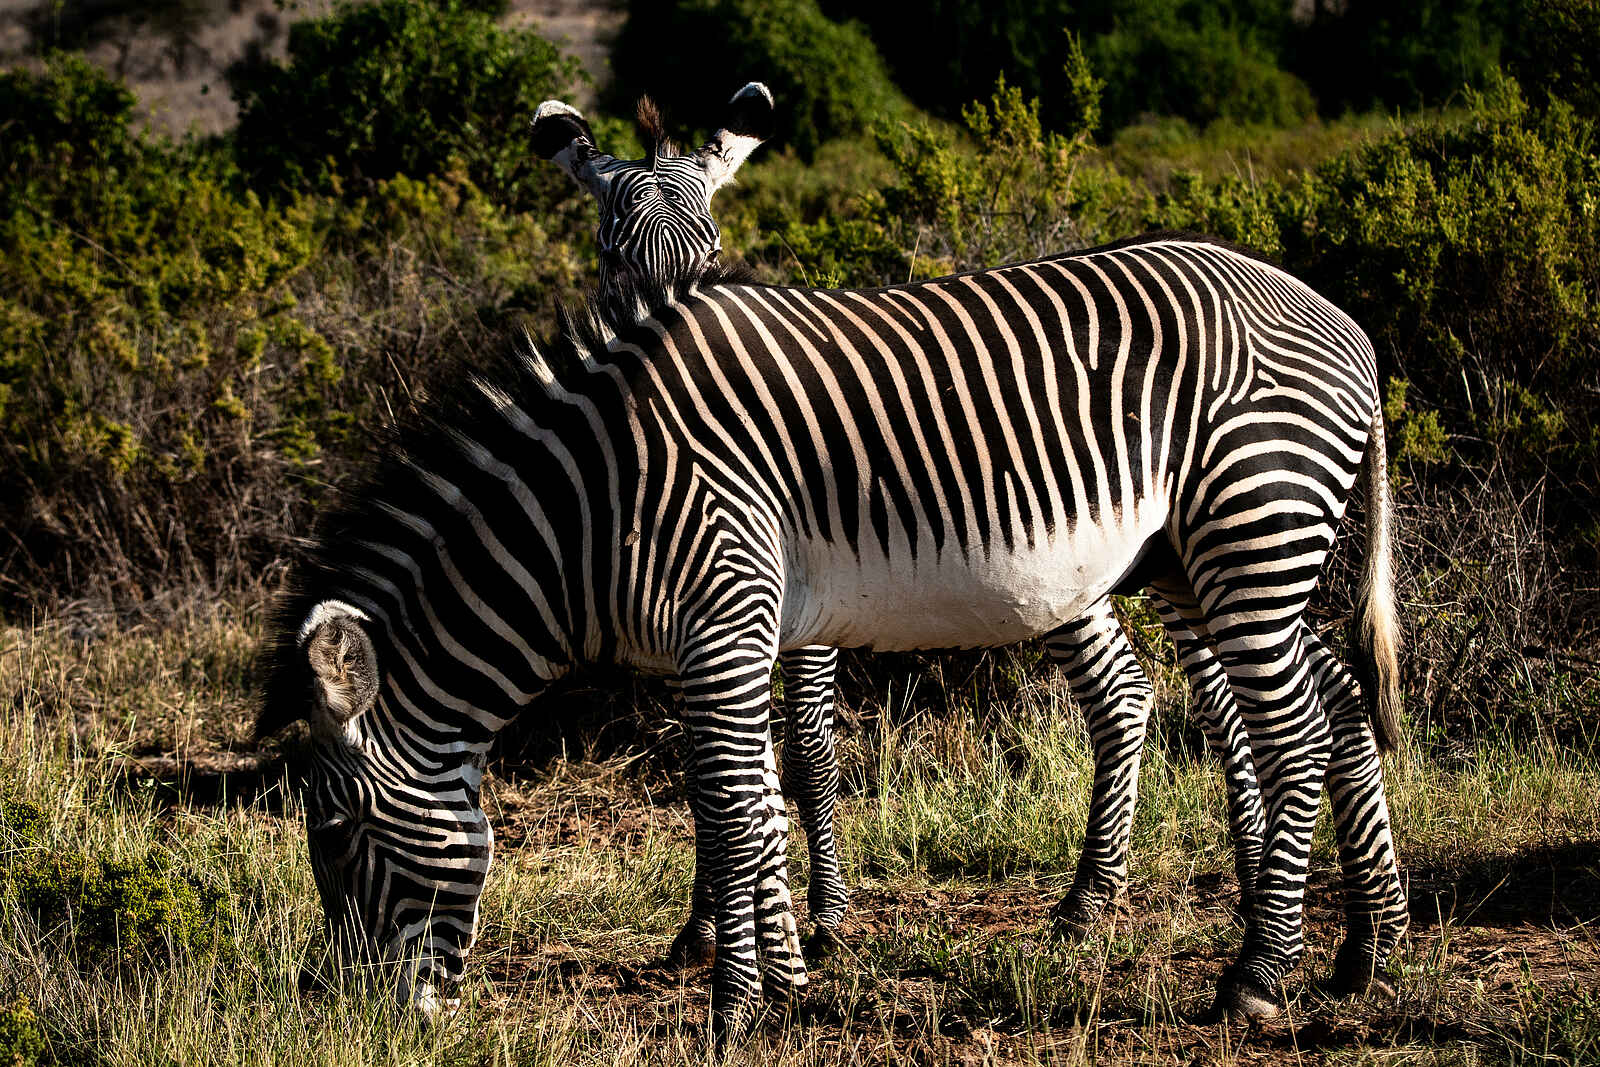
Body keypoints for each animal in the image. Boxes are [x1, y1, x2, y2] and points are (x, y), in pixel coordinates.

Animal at [258, 235, 1409, 1038]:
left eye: (339, 832)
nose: (343, 1011)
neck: (592, 508)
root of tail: (1337, 315)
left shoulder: (724, 611)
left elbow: (732, 809)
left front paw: (734, 1007)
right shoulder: (727, 633)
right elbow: (753, 799)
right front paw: (785, 974)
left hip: (1250, 523)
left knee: (1299, 734)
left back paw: (1257, 977)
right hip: (1204, 553)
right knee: (1342, 699)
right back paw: (1369, 945)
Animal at [528, 84, 1295, 969]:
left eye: (712, 259)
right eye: (611, 258)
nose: (671, 364)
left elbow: (808, 749)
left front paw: (822, 913)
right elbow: (710, 766)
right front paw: (706, 926)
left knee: (1191, 695)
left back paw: (1220, 887)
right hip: (1098, 569)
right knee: (1149, 694)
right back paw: (1172, 887)